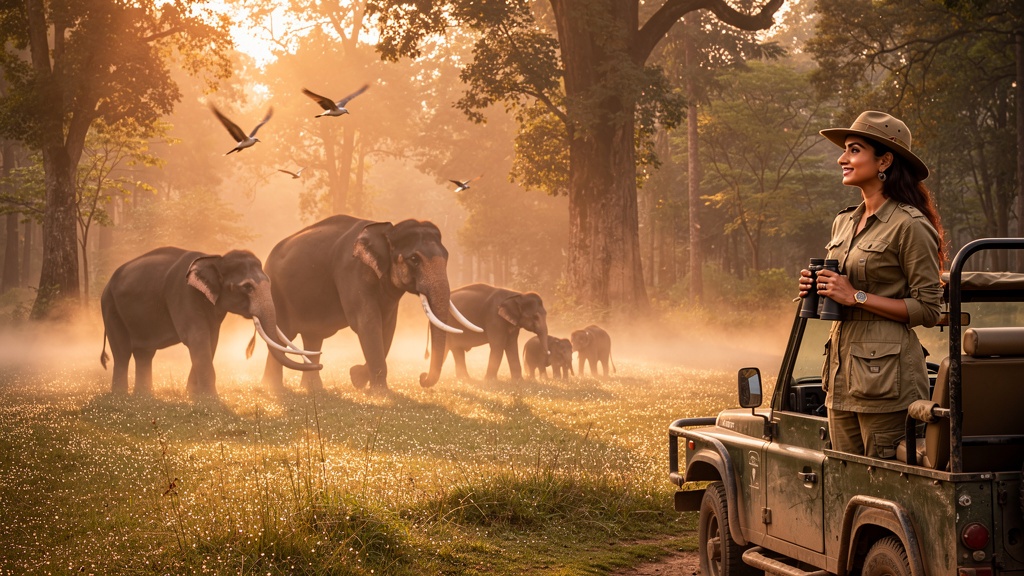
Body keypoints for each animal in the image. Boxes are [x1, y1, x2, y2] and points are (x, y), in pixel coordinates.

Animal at [99, 247, 321, 398]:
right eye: (247, 287)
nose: (320, 364)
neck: (216, 259)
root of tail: (108, 282)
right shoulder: (182, 294)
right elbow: (197, 338)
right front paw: (211, 399)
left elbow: (211, 340)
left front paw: (194, 395)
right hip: (110, 307)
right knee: (122, 353)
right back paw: (121, 397)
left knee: (144, 354)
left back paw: (144, 397)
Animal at [261, 215, 480, 392]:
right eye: (414, 259)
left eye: (447, 257)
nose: (422, 377)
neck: (386, 230)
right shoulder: (350, 271)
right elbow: (366, 322)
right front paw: (379, 392)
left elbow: (387, 325)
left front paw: (357, 378)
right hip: (275, 293)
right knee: (281, 336)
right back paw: (273, 387)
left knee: (312, 338)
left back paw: (311, 388)